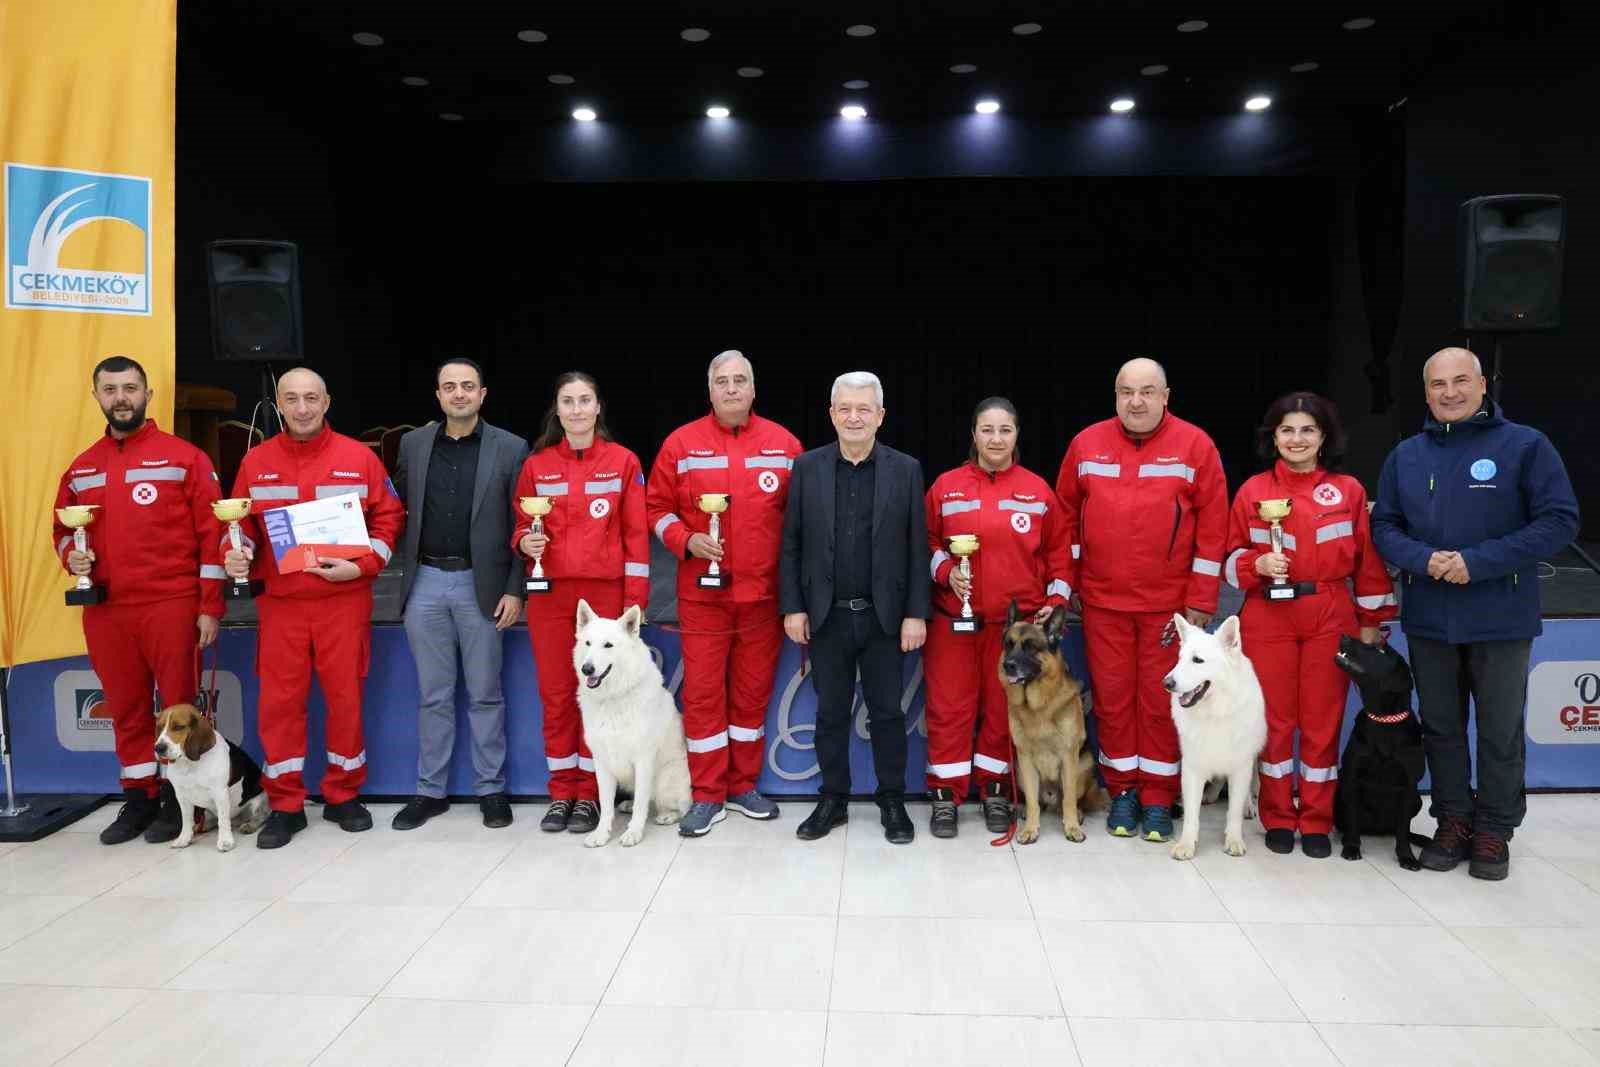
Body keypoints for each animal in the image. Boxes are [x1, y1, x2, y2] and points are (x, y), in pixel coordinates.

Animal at [152, 703, 268, 857]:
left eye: (178, 727)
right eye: (159, 727)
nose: (158, 748)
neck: (190, 764)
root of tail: (238, 819)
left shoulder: (220, 793)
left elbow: (223, 821)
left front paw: (225, 842)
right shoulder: (182, 796)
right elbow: (186, 820)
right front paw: (184, 839)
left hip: (258, 801)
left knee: (260, 816)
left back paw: (249, 825)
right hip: (206, 810)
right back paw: (199, 827)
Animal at [998, 601, 1113, 844]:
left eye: (1031, 647)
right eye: (1009, 645)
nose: (1007, 665)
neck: (1038, 705)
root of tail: (1051, 796)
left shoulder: (1069, 757)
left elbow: (1068, 798)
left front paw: (1071, 828)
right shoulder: (1025, 758)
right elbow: (1033, 801)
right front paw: (1030, 829)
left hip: (1084, 765)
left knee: (1070, 801)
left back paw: (1076, 814)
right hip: (1019, 770)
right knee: (1038, 802)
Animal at [1331, 633, 1433, 870]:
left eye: (1381, 650)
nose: (1344, 635)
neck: (1383, 722)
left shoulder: (1408, 785)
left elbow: (1403, 830)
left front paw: (1407, 857)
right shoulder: (1352, 778)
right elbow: (1353, 820)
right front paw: (1351, 847)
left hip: (1417, 799)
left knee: (1401, 830)